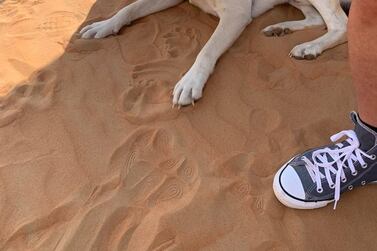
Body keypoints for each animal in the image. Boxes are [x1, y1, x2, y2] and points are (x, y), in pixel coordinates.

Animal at [78, 0, 350, 106]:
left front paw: (190, 82)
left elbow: (207, 50)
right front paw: (105, 25)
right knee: (316, 19)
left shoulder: (236, 13)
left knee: (341, 24)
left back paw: (310, 47)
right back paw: (280, 28)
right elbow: (130, 8)